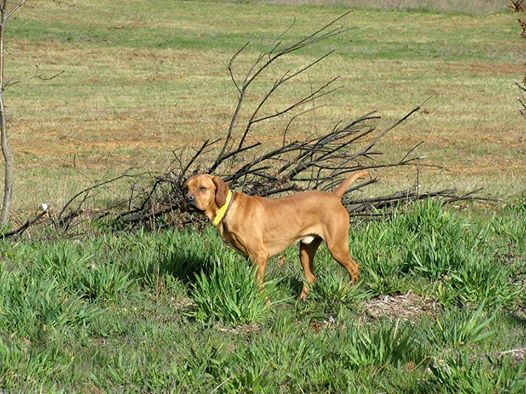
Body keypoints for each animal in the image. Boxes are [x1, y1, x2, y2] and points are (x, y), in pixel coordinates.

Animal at [185, 172, 368, 298]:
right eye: (186, 187)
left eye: (202, 188)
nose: (187, 198)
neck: (228, 208)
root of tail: (334, 195)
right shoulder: (250, 259)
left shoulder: (259, 256)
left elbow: (259, 285)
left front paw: (263, 304)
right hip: (306, 250)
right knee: (310, 276)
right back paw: (301, 301)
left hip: (336, 247)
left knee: (354, 269)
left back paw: (349, 291)